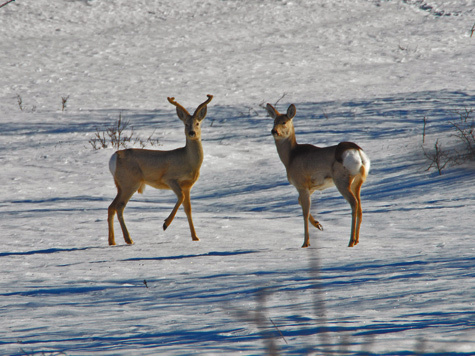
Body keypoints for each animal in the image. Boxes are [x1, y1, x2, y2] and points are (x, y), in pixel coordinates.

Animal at [108, 94, 214, 245]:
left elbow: (188, 209)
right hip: (130, 182)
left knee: (111, 207)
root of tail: (114, 157)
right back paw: (129, 239)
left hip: (121, 184)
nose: (192, 132)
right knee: (119, 206)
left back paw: (112, 241)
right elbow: (180, 198)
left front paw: (195, 237)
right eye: (185, 124)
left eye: (198, 123)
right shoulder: (170, 179)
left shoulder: (188, 186)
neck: (189, 161)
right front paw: (165, 224)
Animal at [268, 103, 372, 248]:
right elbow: (299, 202)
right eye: (274, 121)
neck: (290, 157)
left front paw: (306, 243)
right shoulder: (312, 186)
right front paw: (318, 225)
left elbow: (305, 212)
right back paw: (356, 241)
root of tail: (358, 153)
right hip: (358, 180)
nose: (274, 131)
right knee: (360, 207)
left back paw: (350, 241)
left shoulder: (301, 183)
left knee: (354, 203)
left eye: (284, 122)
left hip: (341, 179)